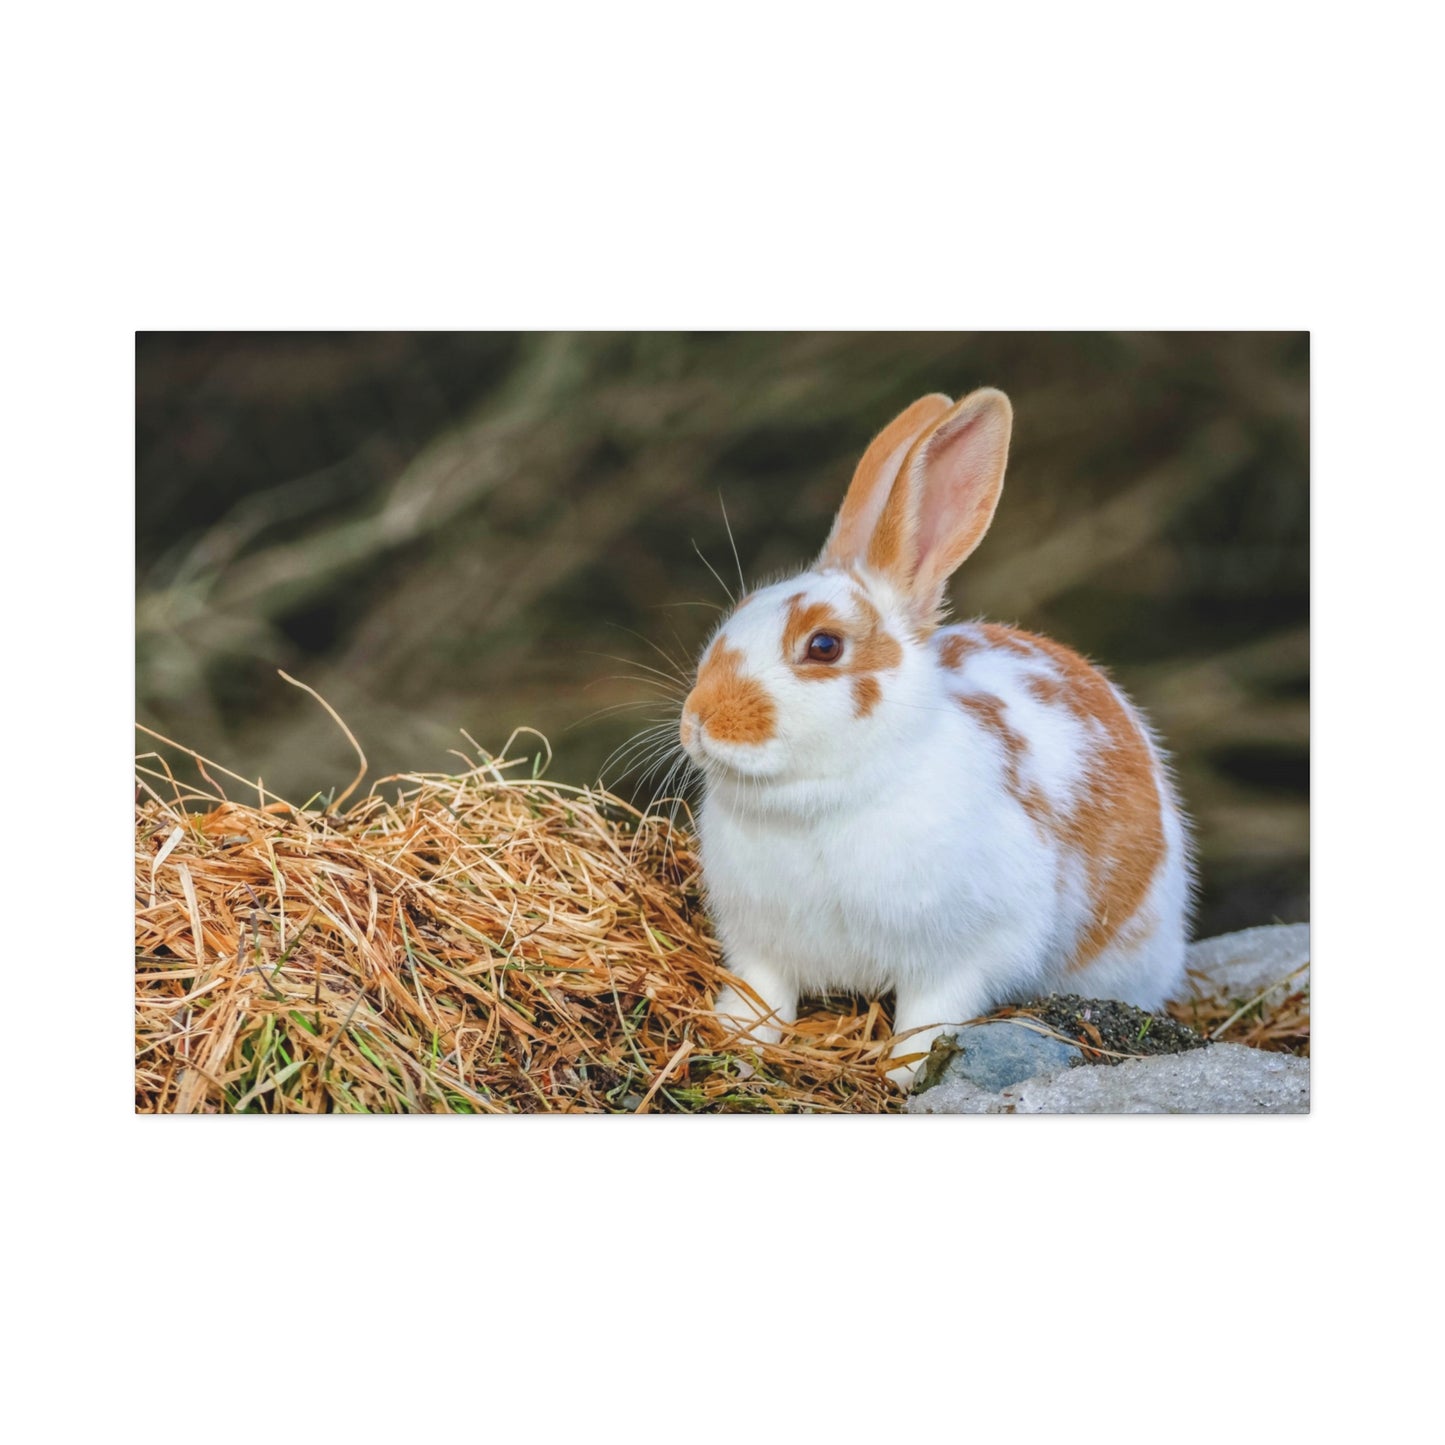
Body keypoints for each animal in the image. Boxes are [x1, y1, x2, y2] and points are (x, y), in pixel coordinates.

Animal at [677, 387, 1192, 1090]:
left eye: (823, 646)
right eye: (736, 615)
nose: (697, 721)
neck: (816, 805)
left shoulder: (963, 956)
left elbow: (930, 1013)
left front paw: (904, 1073)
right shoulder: (761, 947)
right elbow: (762, 996)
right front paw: (735, 1038)